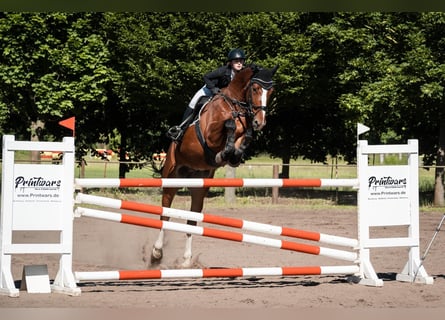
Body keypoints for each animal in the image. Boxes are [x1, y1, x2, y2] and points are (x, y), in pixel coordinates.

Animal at [152, 63, 278, 268]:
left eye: (272, 91)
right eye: (255, 88)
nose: (260, 122)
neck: (235, 105)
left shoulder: (242, 134)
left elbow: (244, 138)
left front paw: (230, 154)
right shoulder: (210, 135)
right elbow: (229, 125)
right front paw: (223, 152)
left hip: (199, 187)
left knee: (192, 221)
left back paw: (186, 261)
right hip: (171, 179)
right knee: (165, 214)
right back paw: (156, 253)